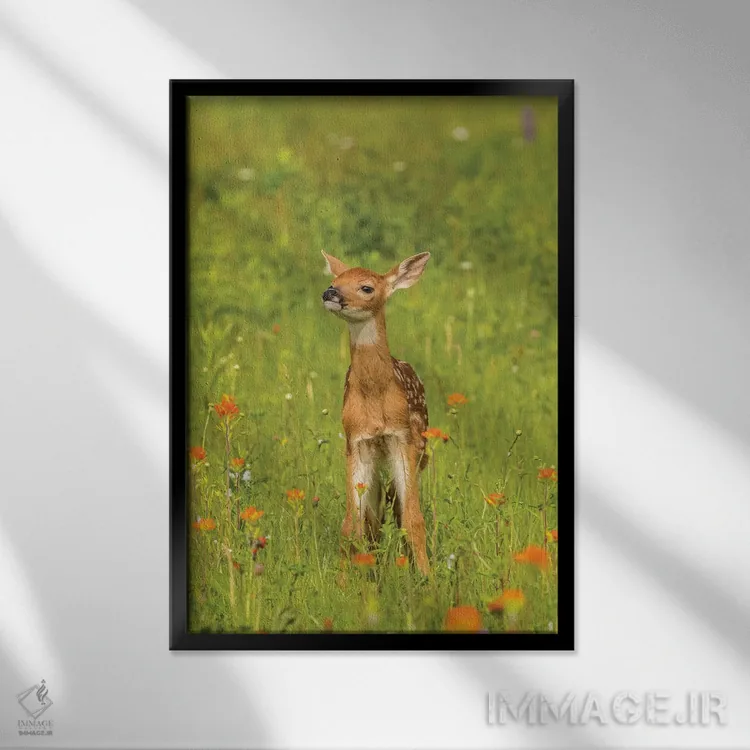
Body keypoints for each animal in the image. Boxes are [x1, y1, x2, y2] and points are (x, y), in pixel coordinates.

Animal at [321, 249, 432, 575]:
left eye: (367, 287)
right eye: (335, 281)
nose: (330, 292)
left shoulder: (402, 439)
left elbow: (413, 518)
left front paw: (427, 577)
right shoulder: (356, 442)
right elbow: (352, 524)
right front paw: (345, 580)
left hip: (419, 449)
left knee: (396, 509)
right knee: (374, 518)